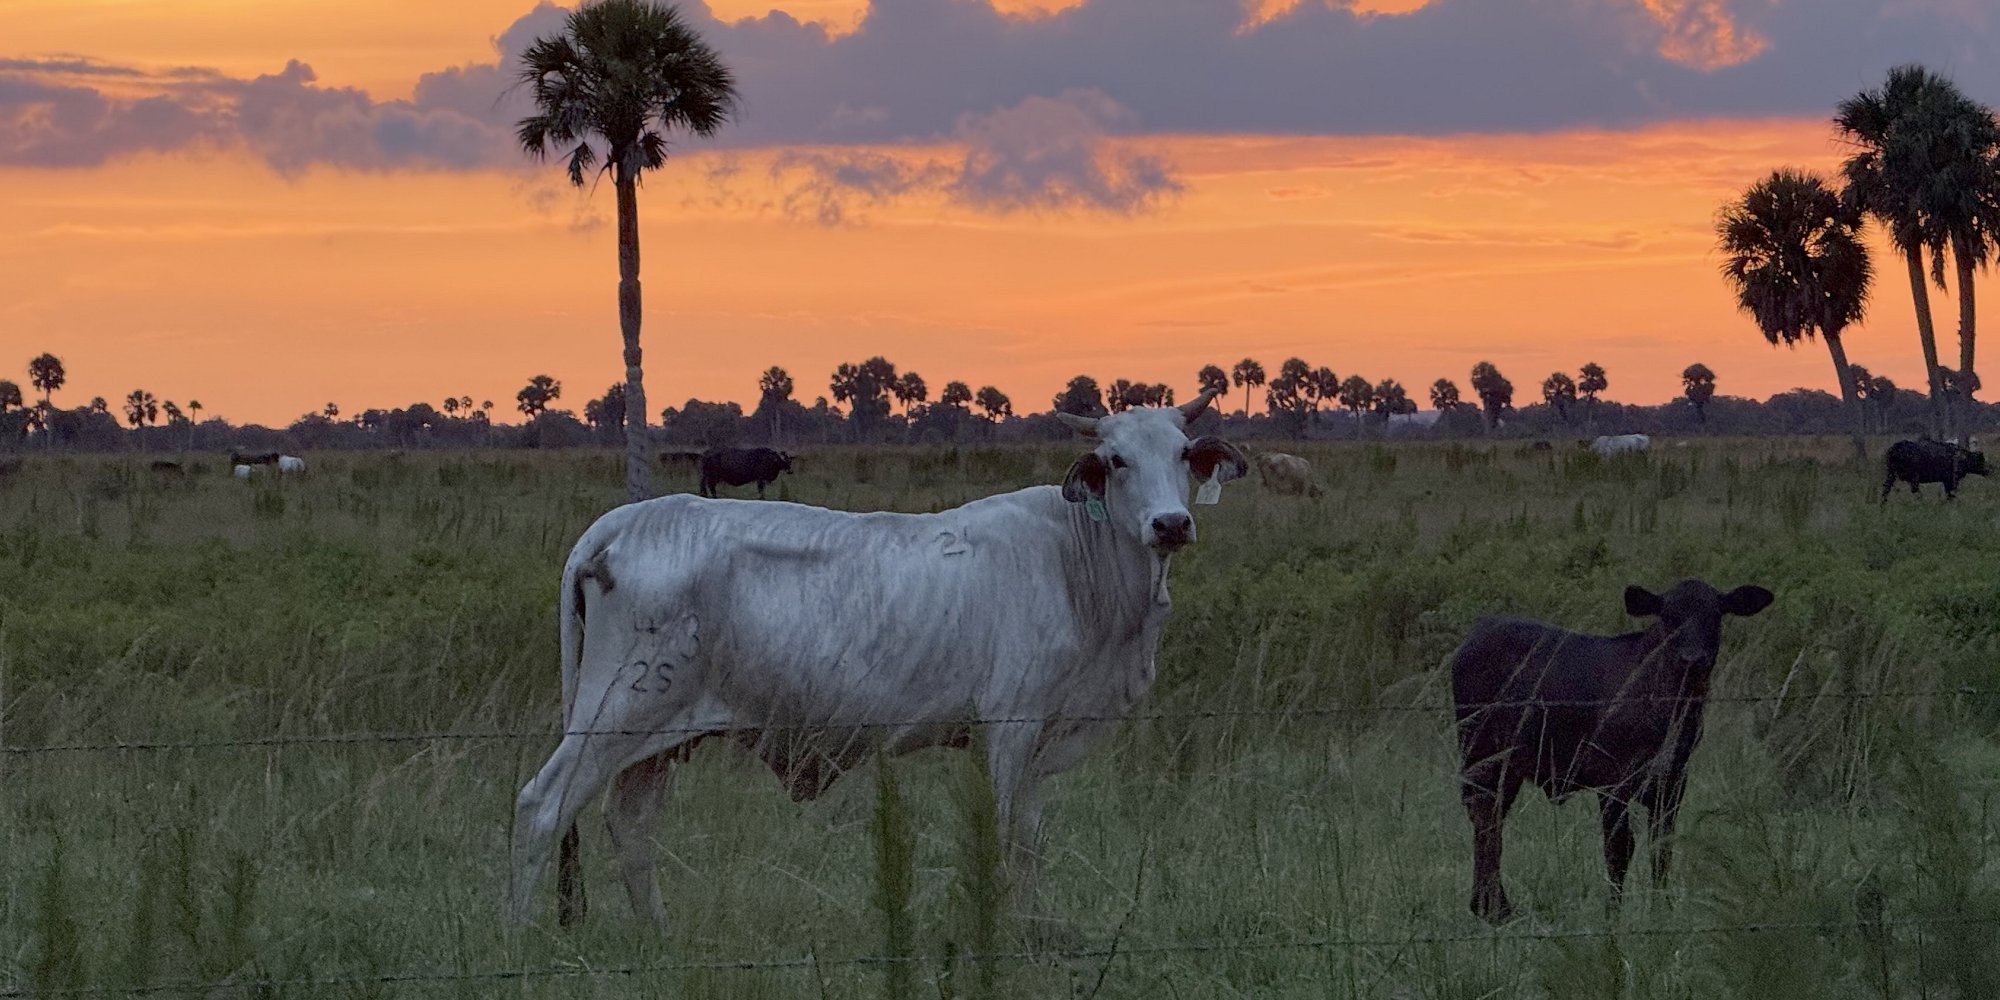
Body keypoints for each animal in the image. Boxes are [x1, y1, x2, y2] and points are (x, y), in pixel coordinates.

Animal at [506, 391, 1247, 931]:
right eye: (1116, 460)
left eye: (1183, 452)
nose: (1170, 524)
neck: (1078, 565)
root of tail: (623, 522)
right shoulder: (1009, 728)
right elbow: (1007, 838)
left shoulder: (1042, 739)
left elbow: (1031, 842)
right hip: (614, 713)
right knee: (542, 809)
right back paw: (519, 942)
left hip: (657, 740)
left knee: (630, 829)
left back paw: (660, 937)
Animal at [1450, 579, 1774, 924]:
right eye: (1668, 617)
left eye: (1715, 615)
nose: (1691, 659)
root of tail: (1483, 627)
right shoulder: (1612, 780)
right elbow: (1619, 848)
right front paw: (1613, 915)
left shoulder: (1673, 780)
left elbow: (1661, 846)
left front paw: (1660, 909)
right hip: (1480, 754)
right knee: (1485, 820)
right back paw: (1492, 909)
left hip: (1507, 766)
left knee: (1492, 820)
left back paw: (1493, 908)